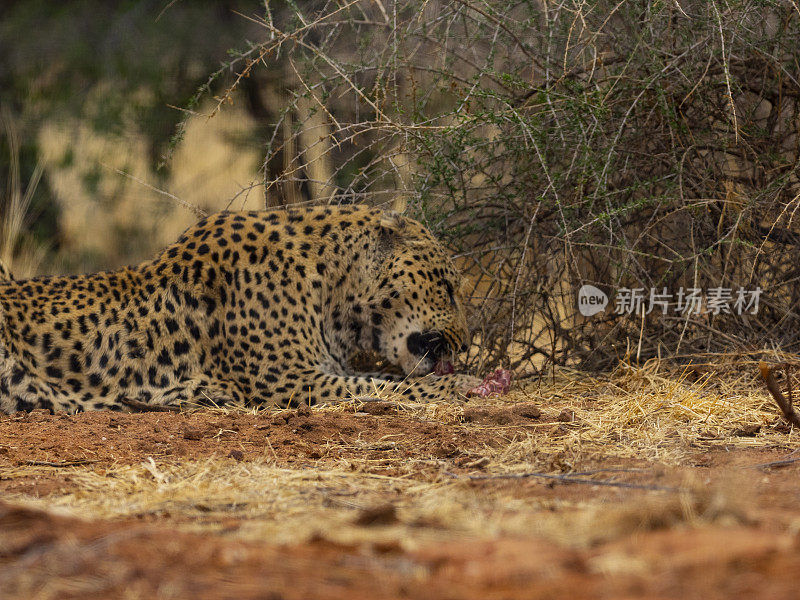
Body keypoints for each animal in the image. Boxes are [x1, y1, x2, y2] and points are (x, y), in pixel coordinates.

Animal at [0, 205, 482, 412]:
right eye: (446, 287)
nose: (465, 343)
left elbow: (381, 379)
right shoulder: (286, 382)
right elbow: (385, 386)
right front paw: (463, 385)